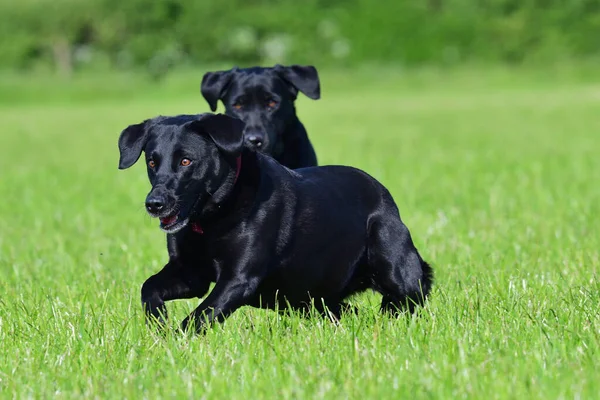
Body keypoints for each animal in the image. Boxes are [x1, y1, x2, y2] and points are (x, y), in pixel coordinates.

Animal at [116, 111, 432, 332]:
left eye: (185, 161)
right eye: (152, 162)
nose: (154, 204)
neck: (212, 219)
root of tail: (382, 192)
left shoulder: (239, 279)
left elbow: (199, 317)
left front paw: (174, 342)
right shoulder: (191, 274)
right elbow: (149, 288)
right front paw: (158, 323)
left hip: (394, 265)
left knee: (409, 297)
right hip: (313, 297)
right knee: (347, 311)